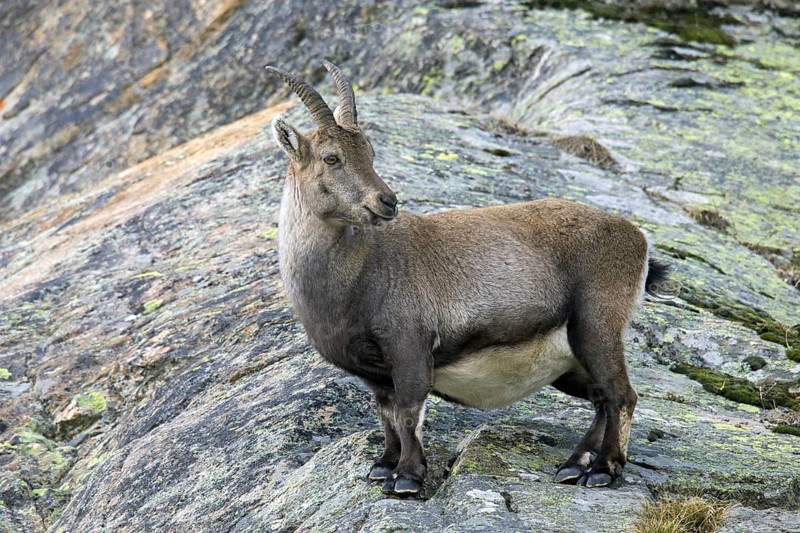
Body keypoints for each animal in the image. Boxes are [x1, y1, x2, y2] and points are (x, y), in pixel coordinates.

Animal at [265, 61, 668, 495]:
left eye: (370, 153)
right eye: (331, 158)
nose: (387, 202)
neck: (356, 272)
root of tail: (638, 239)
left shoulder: (409, 346)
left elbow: (408, 413)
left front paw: (407, 477)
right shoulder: (377, 374)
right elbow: (386, 416)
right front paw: (384, 465)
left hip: (596, 325)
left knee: (621, 395)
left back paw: (603, 469)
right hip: (570, 360)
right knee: (599, 397)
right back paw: (574, 464)